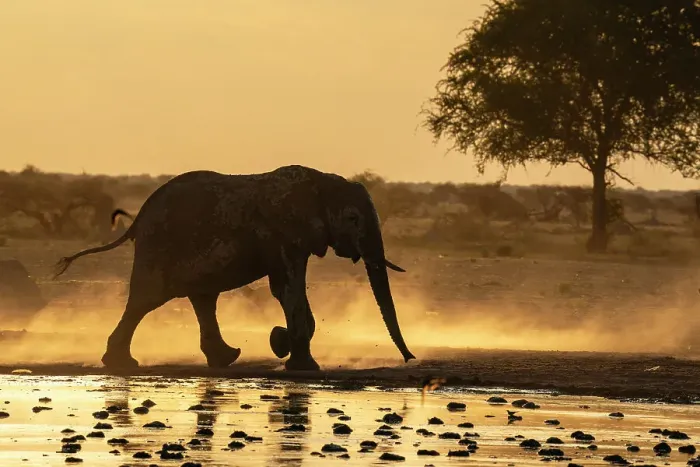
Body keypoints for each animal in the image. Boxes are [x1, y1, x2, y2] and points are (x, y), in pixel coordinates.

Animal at [53, 165, 416, 371]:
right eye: (353, 218)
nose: (410, 359)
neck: (321, 182)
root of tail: (138, 217)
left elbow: (286, 291)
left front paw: (282, 344)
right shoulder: (281, 234)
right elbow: (288, 290)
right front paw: (301, 363)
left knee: (202, 300)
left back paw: (225, 359)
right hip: (159, 247)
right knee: (146, 300)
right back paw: (123, 363)